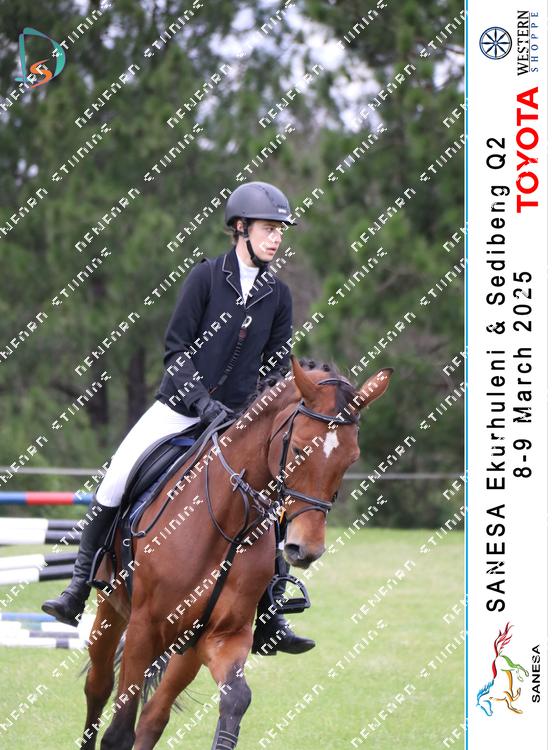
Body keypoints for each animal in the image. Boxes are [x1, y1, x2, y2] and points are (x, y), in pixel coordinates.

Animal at [80, 355, 393, 749]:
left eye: (351, 458)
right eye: (299, 449)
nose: (306, 549)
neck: (226, 525)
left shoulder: (224, 636)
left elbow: (236, 700)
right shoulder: (142, 627)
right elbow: (119, 731)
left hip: (187, 646)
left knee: (154, 715)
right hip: (112, 611)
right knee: (98, 688)